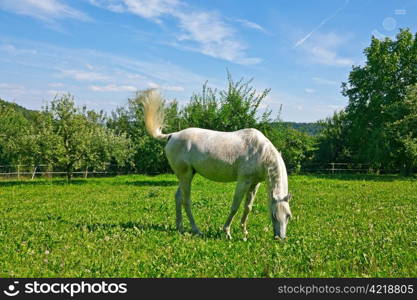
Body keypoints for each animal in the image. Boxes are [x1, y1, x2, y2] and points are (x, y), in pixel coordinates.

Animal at [138, 88, 290, 239]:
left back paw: (180, 227)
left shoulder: (254, 184)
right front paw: (227, 232)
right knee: (186, 200)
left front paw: (244, 232)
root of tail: (172, 135)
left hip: (186, 176)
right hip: (186, 176)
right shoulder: (243, 182)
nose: (280, 238)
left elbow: (248, 207)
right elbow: (235, 206)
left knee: (178, 197)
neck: (260, 152)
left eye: (288, 215)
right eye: (274, 215)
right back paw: (196, 230)